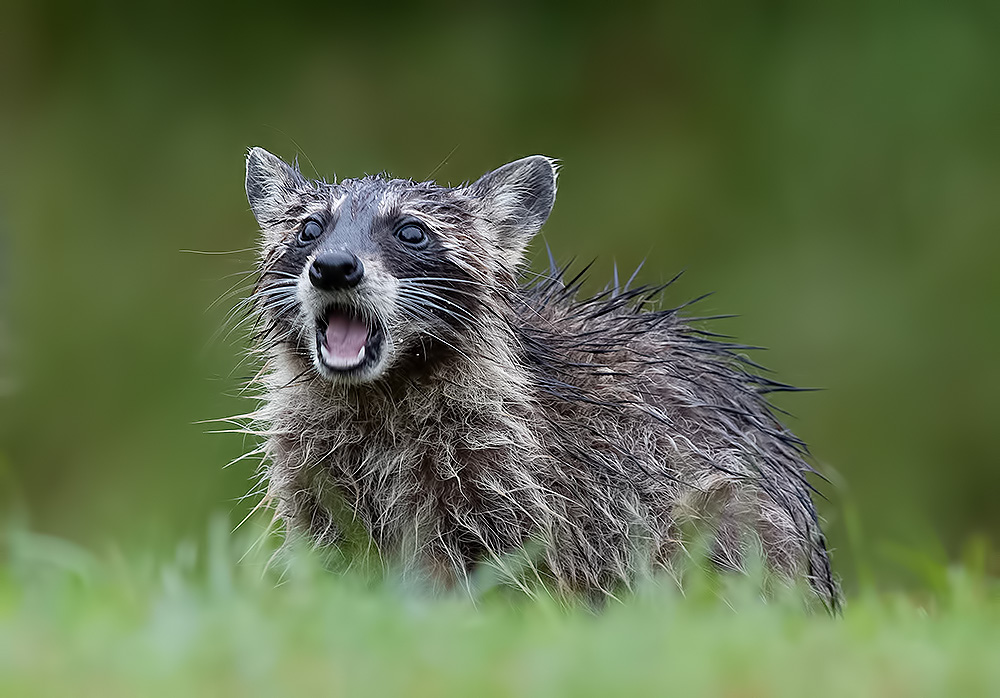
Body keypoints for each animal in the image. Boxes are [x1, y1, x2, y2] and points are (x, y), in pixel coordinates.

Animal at [238, 147, 840, 604]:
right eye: (310, 228)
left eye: (411, 232)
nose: (333, 266)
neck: (379, 389)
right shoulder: (314, 471)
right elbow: (330, 560)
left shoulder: (514, 473)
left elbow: (502, 571)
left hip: (733, 517)